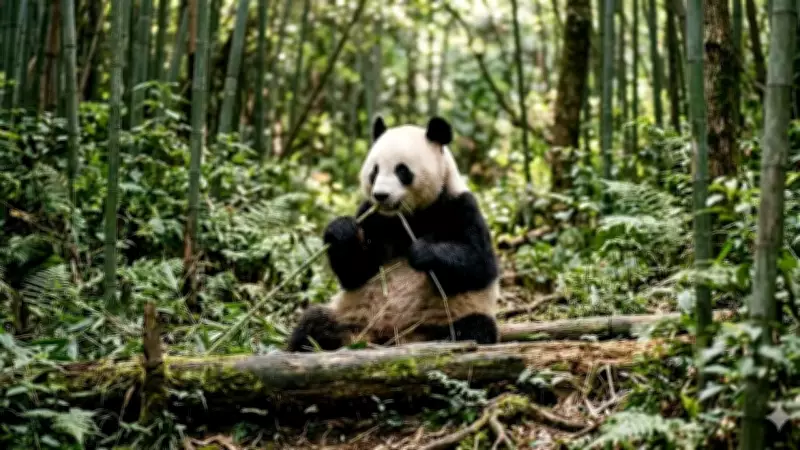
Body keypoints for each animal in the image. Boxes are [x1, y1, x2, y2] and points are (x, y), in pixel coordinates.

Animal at [286, 115, 501, 352]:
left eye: (402, 170)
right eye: (375, 171)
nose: (381, 195)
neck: (407, 215)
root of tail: (389, 337)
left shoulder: (460, 207)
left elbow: (479, 264)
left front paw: (423, 252)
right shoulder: (373, 217)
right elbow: (356, 272)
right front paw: (341, 230)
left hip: (445, 317)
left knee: (474, 328)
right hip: (351, 316)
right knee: (313, 323)